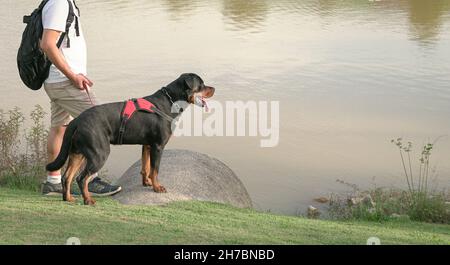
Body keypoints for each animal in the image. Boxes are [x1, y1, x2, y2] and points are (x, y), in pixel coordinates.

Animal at [47, 72, 214, 204]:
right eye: (201, 85)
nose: (213, 89)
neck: (170, 101)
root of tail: (76, 121)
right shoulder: (158, 146)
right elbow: (155, 169)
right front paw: (157, 187)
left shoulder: (147, 145)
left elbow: (145, 167)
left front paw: (146, 182)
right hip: (99, 153)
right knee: (81, 178)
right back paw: (88, 200)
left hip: (77, 153)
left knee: (67, 177)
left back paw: (68, 198)